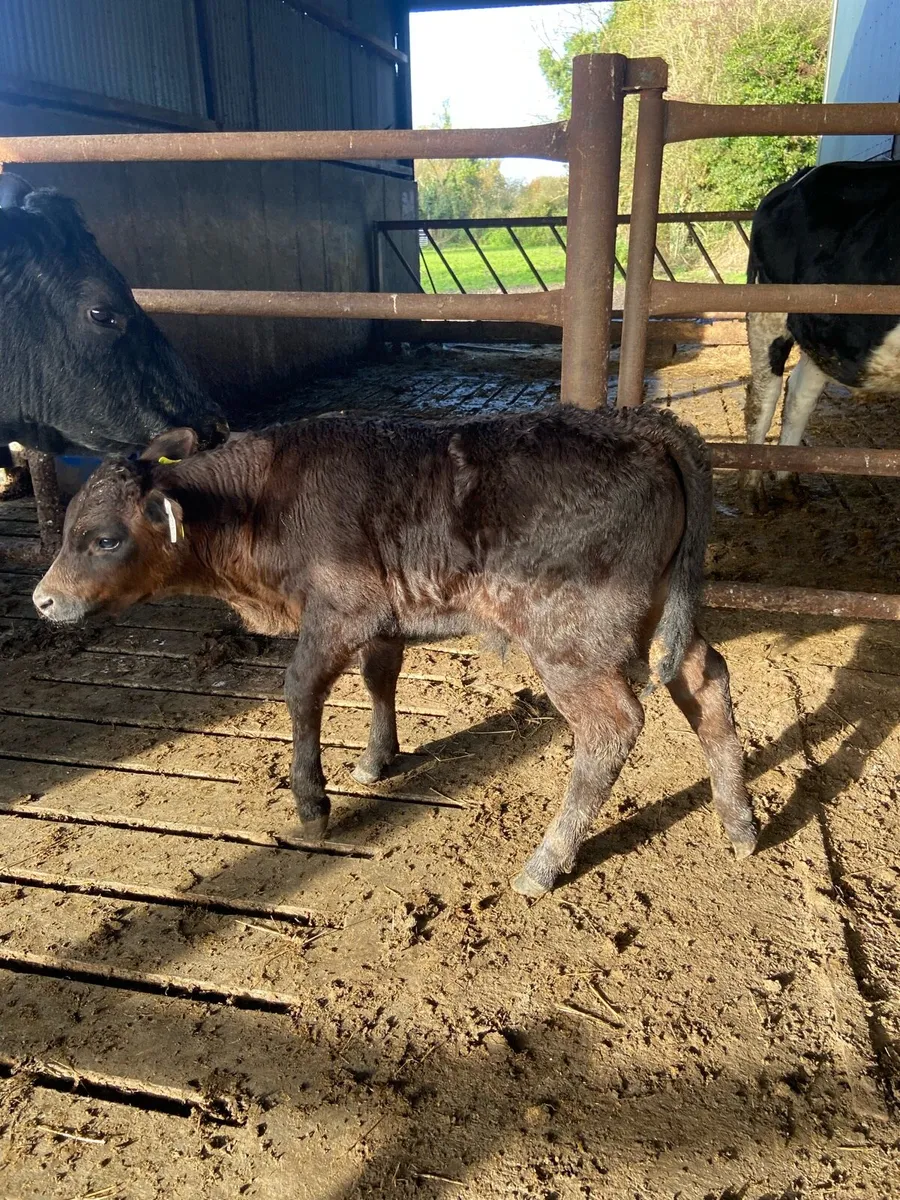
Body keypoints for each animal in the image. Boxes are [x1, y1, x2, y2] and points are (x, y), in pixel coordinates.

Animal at [32, 407, 758, 896]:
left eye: (103, 539)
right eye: (67, 529)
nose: (42, 599)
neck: (262, 499)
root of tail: (644, 425)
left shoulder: (339, 610)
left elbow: (300, 690)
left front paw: (312, 803)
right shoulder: (381, 619)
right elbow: (380, 678)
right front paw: (378, 759)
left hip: (572, 640)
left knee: (612, 726)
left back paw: (545, 864)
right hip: (658, 612)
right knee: (706, 680)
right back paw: (740, 823)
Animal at [743, 160, 900, 505]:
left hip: (823, 330)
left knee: (800, 391)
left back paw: (787, 481)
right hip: (768, 308)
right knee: (764, 393)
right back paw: (753, 488)